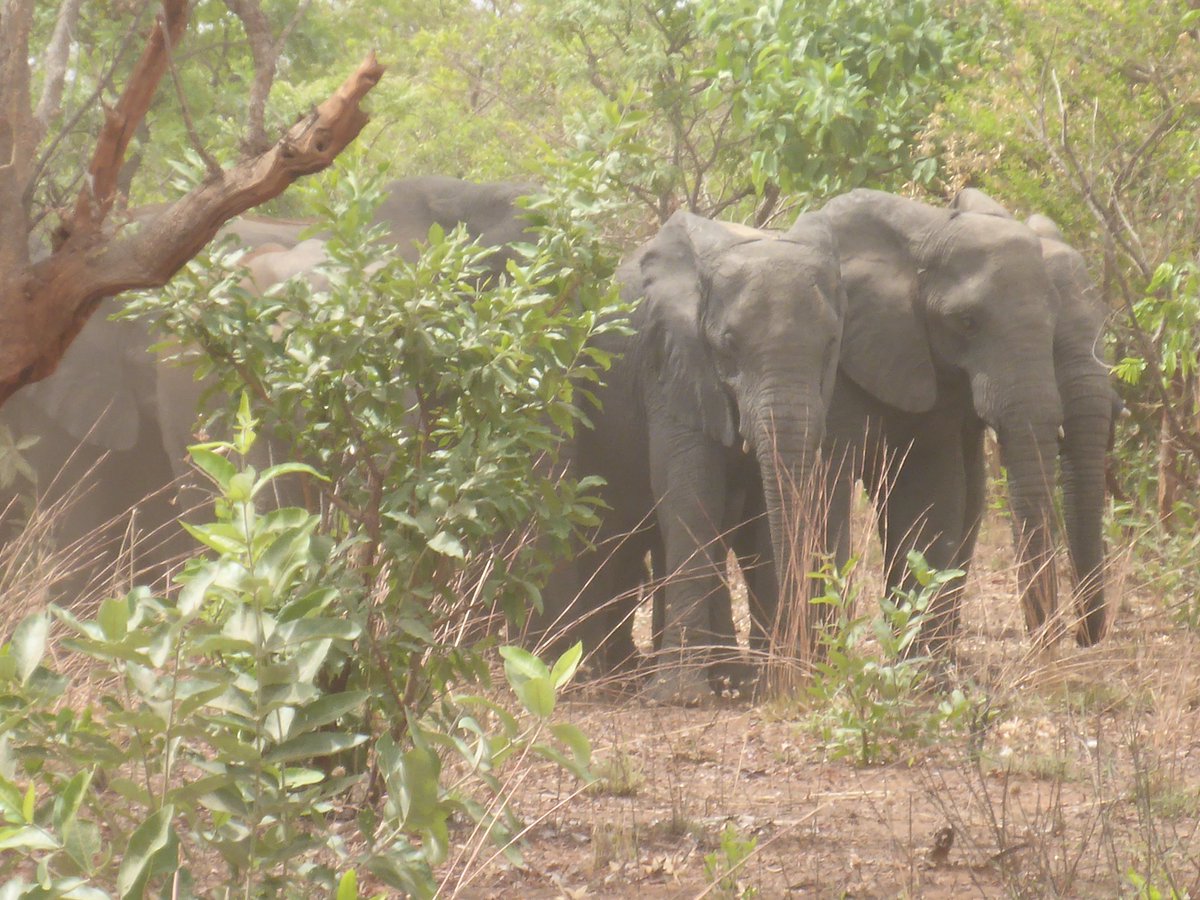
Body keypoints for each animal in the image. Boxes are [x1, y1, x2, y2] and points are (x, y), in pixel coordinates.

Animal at [535, 209, 845, 705]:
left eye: (832, 343)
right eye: (728, 344)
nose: (799, 671)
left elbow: (762, 508)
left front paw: (766, 684)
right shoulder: (671, 361)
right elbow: (690, 494)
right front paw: (681, 697)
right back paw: (609, 675)